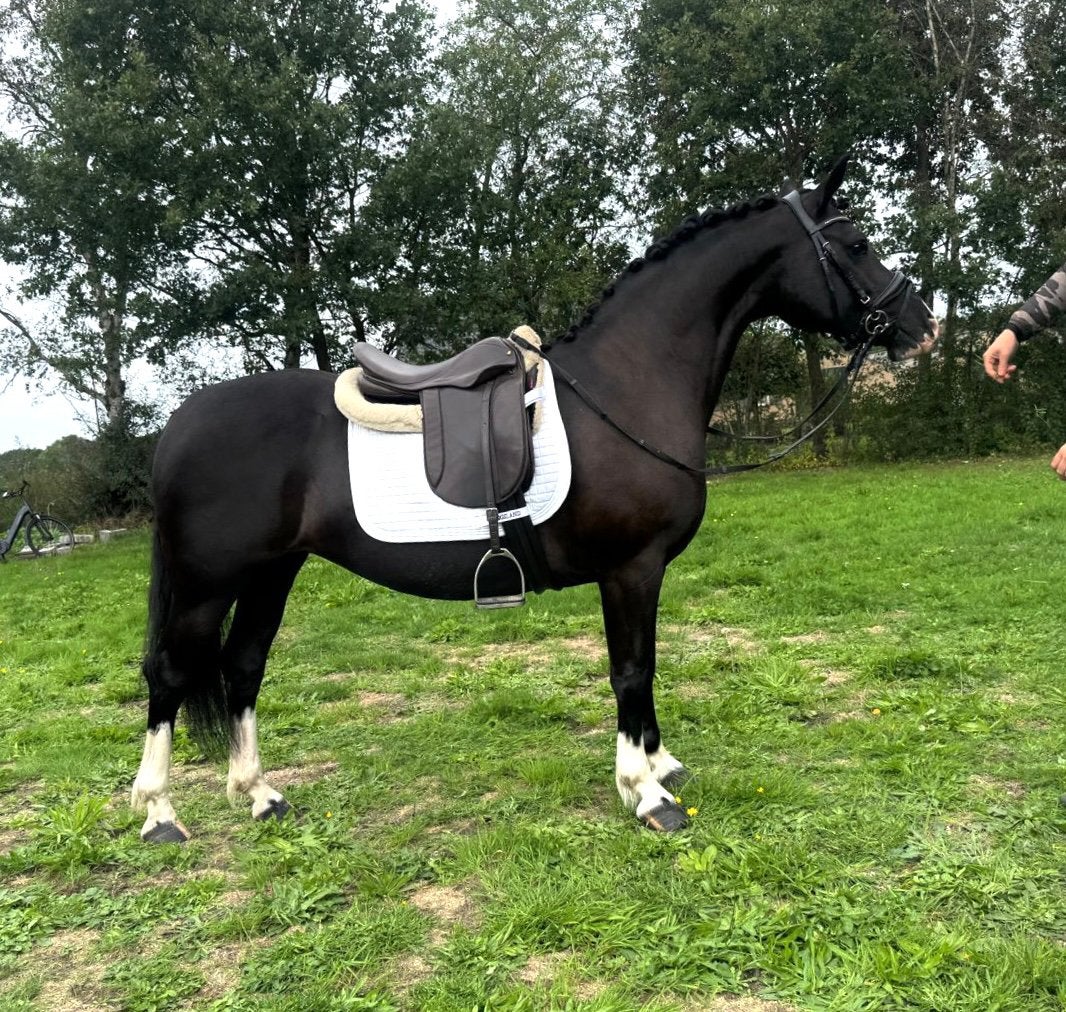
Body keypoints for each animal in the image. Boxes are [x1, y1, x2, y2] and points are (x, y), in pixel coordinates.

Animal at [131, 156, 937, 843]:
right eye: (857, 243)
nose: (922, 326)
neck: (626, 385)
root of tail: (176, 424)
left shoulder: (643, 575)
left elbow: (646, 668)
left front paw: (660, 764)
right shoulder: (631, 569)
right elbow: (631, 670)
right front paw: (647, 794)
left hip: (273, 572)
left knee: (243, 668)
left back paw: (259, 795)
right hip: (207, 584)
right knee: (170, 675)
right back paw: (159, 815)